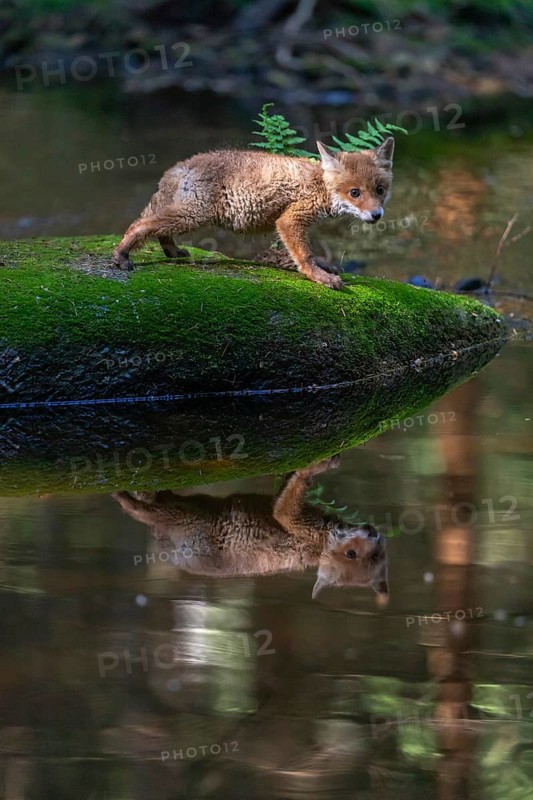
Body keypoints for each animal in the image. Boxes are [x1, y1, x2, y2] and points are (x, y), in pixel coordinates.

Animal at [112, 137, 395, 290]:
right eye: (355, 193)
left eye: (380, 190)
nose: (376, 215)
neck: (318, 184)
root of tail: (179, 166)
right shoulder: (289, 220)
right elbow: (305, 256)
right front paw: (319, 277)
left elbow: (311, 254)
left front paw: (323, 269)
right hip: (193, 215)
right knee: (140, 225)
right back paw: (122, 256)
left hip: (187, 214)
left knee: (157, 228)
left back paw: (172, 252)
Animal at [113, 455, 389, 604]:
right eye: (352, 554)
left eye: (376, 556)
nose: (373, 533)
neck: (320, 544)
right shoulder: (293, 519)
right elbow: (297, 478)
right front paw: (321, 464)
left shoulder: (290, 518)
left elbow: (296, 481)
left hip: (180, 512)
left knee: (142, 509)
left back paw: (123, 497)